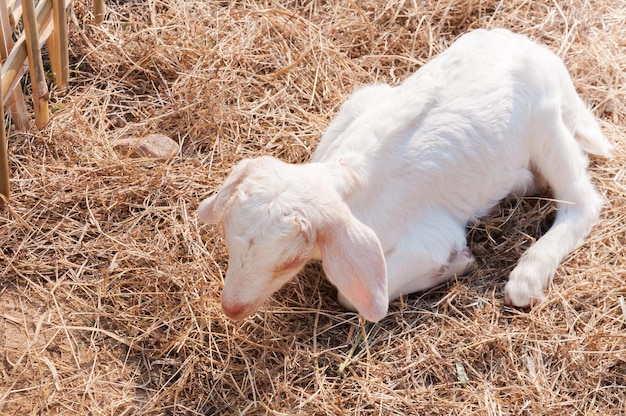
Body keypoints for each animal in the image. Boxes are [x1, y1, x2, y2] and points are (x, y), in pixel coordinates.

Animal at [199, 28, 608, 322]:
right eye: (228, 239)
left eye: (289, 260)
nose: (231, 309)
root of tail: (542, 55)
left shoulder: (430, 238)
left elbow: (351, 297)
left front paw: (457, 264)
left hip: (546, 124)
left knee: (582, 200)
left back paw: (527, 276)